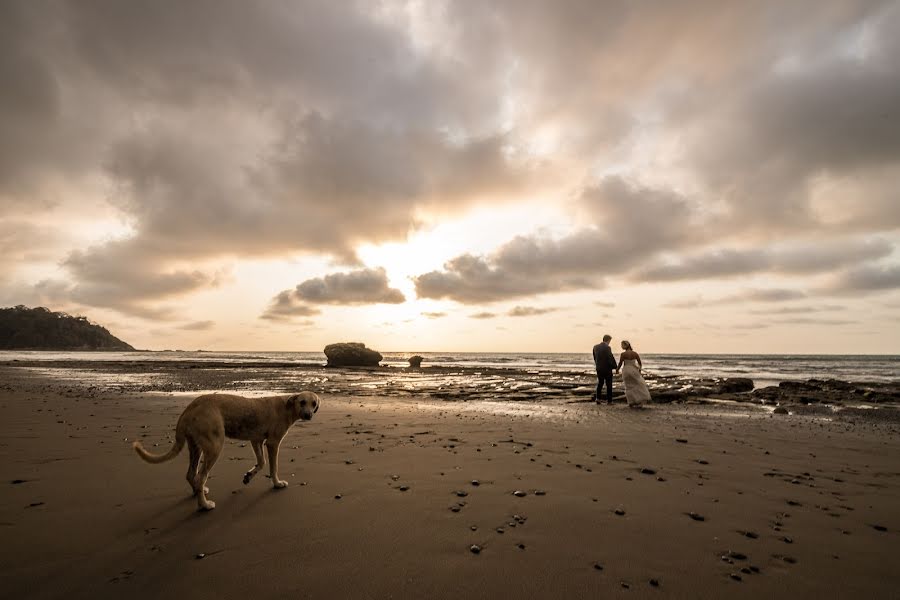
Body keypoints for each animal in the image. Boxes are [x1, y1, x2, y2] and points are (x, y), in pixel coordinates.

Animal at [131, 394, 320, 510]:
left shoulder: (256, 440)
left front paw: (248, 476)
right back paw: (204, 505)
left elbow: (261, 462)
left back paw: (198, 492)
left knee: (191, 474)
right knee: (200, 476)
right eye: (302, 402)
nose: (308, 415)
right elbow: (273, 467)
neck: (287, 406)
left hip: (195, 446)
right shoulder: (273, 443)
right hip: (214, 446)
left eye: (314, 404)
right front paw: (277, 483)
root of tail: (190, 407)